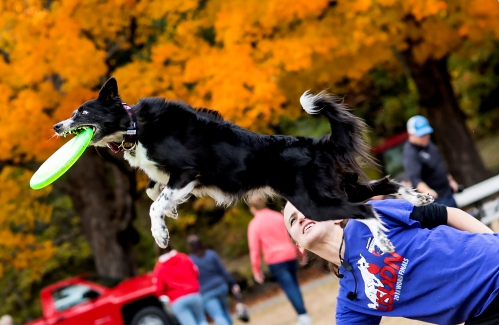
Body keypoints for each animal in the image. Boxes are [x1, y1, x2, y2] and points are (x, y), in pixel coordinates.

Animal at [52, 77, 432, 249]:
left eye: (82, 113)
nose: (56, 126)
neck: (133, 125)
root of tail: (317, 144)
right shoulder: (170, 177)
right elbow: (151, 191)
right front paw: (168, 214)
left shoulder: (187, 172)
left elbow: (154, 204)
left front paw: (161, 233)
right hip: (338, 187)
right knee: (384, 186)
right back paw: (420, 198)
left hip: (315, 202)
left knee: (366, 210)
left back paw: (383, 240)